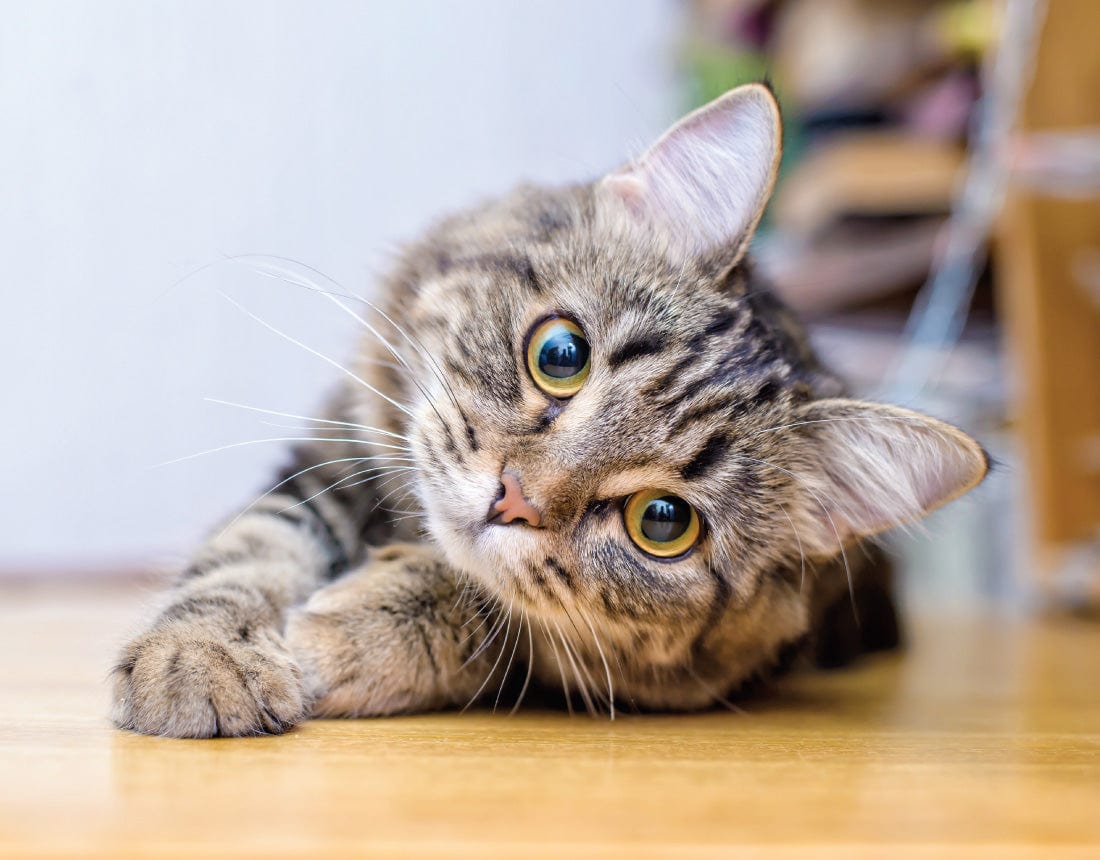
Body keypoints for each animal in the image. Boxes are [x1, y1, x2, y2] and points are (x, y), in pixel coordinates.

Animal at [111, 84, 990, 739]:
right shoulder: (331, 462)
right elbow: (246, 555)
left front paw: (340, 633)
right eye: (560, 355)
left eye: (663, 522)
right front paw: (198, 660)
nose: (513, 497)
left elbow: (483, 611)